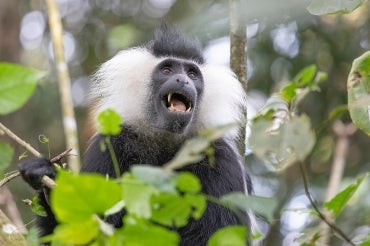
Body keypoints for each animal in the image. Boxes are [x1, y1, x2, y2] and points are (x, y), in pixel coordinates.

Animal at [18, 25, 254, 246]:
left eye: (192, 74)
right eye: (167, 70)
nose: (182, 80)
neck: (166, 142)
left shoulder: (222, 159)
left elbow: (218, 233)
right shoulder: (110, 146)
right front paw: (45, 177)